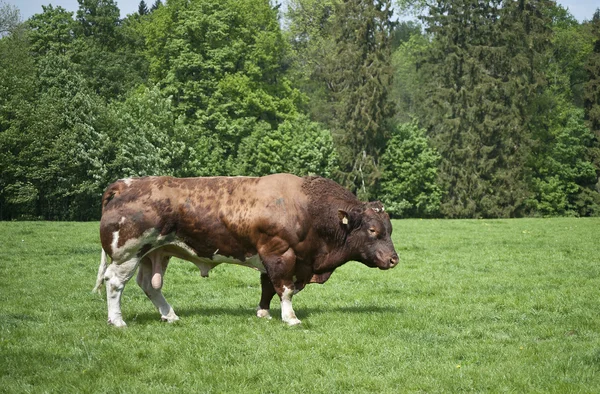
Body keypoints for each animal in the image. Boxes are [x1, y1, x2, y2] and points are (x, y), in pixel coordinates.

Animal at [94, 173, 398, 326]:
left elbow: (267, 287)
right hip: (129, 253)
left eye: (390, 229)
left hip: (154, 253)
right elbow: (284, 289)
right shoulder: (280, 254)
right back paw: (117, 321)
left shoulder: (272, 258)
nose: (394, 259)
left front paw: (263, 313)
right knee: (115, 283)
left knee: (150, 285)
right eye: (373, 230)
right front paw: (290, 318)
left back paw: (170, 315)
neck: (306, 207)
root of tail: (125, 183)